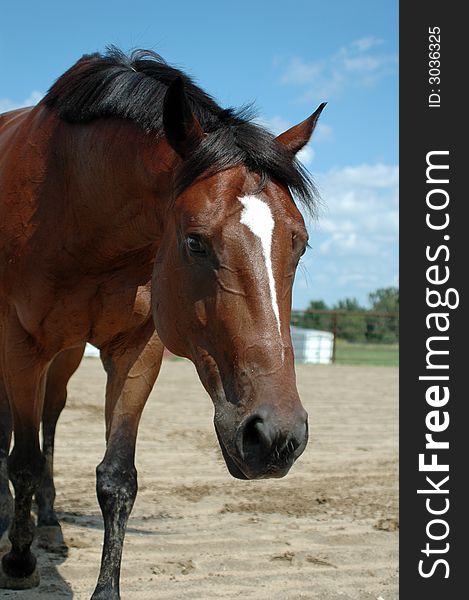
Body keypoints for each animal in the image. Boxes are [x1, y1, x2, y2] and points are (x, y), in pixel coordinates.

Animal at [0, 47, 324, 596]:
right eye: (195, 241)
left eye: (299, 243)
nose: (277, 437)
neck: (73, 198)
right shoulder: (22, 346)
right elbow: (21, 461)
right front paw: (19, 563)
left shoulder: (137, 350)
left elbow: (116, 478)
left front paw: (105, 587)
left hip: (67, 355)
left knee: (51, 417)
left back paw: (49, 522)